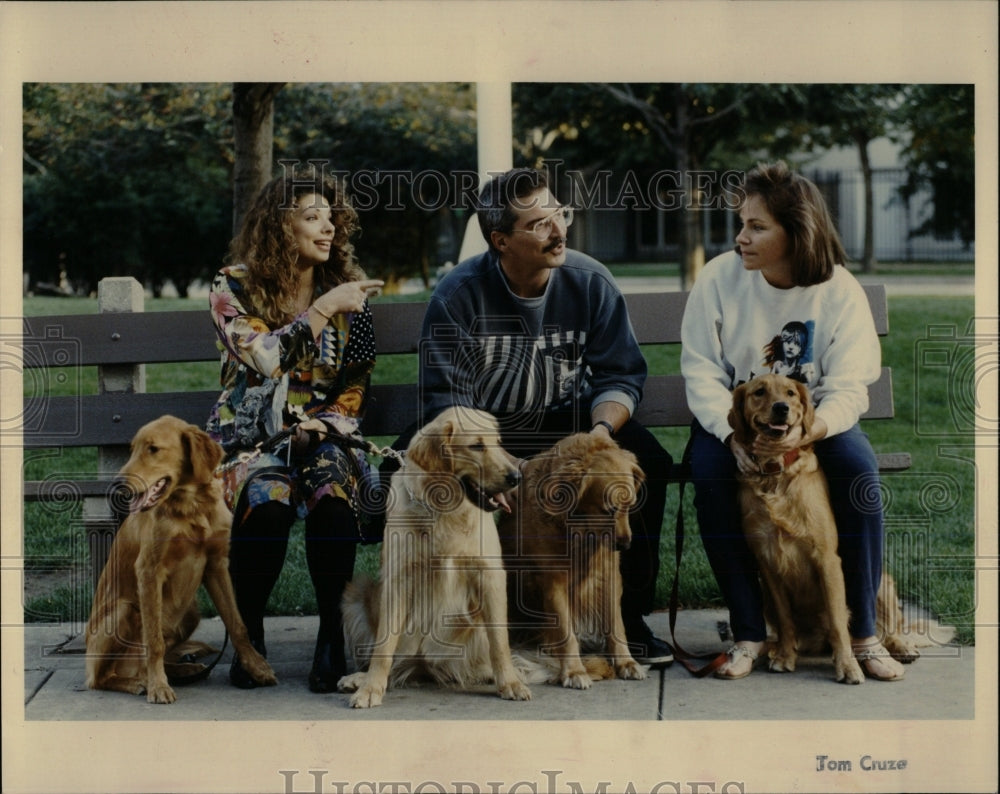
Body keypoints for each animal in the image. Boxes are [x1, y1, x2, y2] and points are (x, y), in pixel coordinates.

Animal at [83, 414, 274, 700]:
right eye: (132, 449)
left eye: (153, 449)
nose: (116, 485)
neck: (191, 506)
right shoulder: (148, 570)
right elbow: (154, 641)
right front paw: (158, 686)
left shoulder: (217, 565)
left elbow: (237, 625)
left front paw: (256, 667)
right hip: (124, 609)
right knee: (100, 678)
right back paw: (138, 682)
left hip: (190, 613)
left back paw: (183, 670)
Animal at [336, 408, 536, 704]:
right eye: (476, 446)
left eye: (498, 442)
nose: (516, 477)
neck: (445, 509)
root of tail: (425, 665)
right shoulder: (398, 579)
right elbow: (383, 647)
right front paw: (370, 688)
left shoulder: (490, 575)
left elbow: (500, 642)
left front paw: (510, 682)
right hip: (356, 594)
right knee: (393, 660)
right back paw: (360, 678)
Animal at [498, 434, 648, 688]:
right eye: (608, 510)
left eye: (629, 505)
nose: (625, 545)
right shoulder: (553, 581)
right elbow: (566, 632)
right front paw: (574, 671)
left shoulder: (608, 574)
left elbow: (616, 625)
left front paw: (626, 662)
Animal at [728, 372, 928, 680]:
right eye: (759, 392)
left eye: (790, 393)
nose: (781, 408)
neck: (775, 474)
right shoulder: (767, 563)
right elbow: (786, 621)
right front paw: (785, 657)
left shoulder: (827, 559)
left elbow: (837, 620)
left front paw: (847, 666)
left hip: (883, 582)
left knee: (888, 626)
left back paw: (896, 648)